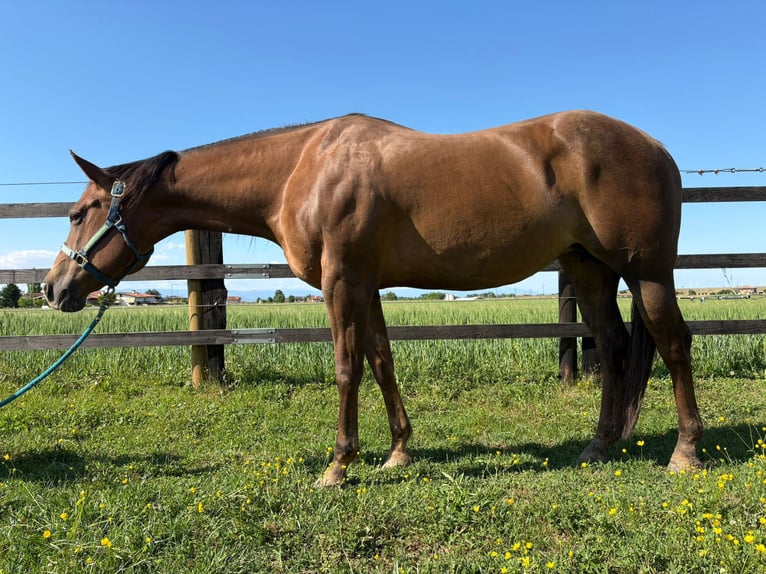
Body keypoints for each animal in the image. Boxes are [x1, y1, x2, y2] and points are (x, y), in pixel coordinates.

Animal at [43, 111, 703, 486]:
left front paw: (338, 466)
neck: (302, 168)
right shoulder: (368, 286)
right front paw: (398, 453)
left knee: (673, 344)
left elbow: (346, 369)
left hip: (647, 272)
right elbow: (382, 362)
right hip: (589, 271)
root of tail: (656, 146)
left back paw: (686, 453)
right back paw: (599, 445)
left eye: (79, 212)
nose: (53, 288)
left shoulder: (343, 284)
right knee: (614, 348)